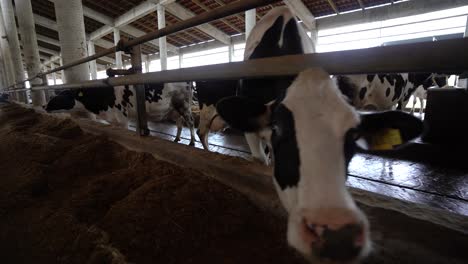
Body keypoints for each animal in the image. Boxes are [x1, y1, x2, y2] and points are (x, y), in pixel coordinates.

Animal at [45, 82, 196, 145]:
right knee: (179, 122)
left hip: (184, 105)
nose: (45, 106)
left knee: (190, 122)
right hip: (173, 109)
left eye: (62, 96)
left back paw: (192, 142)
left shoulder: (122, 118)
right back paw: (177, 139)